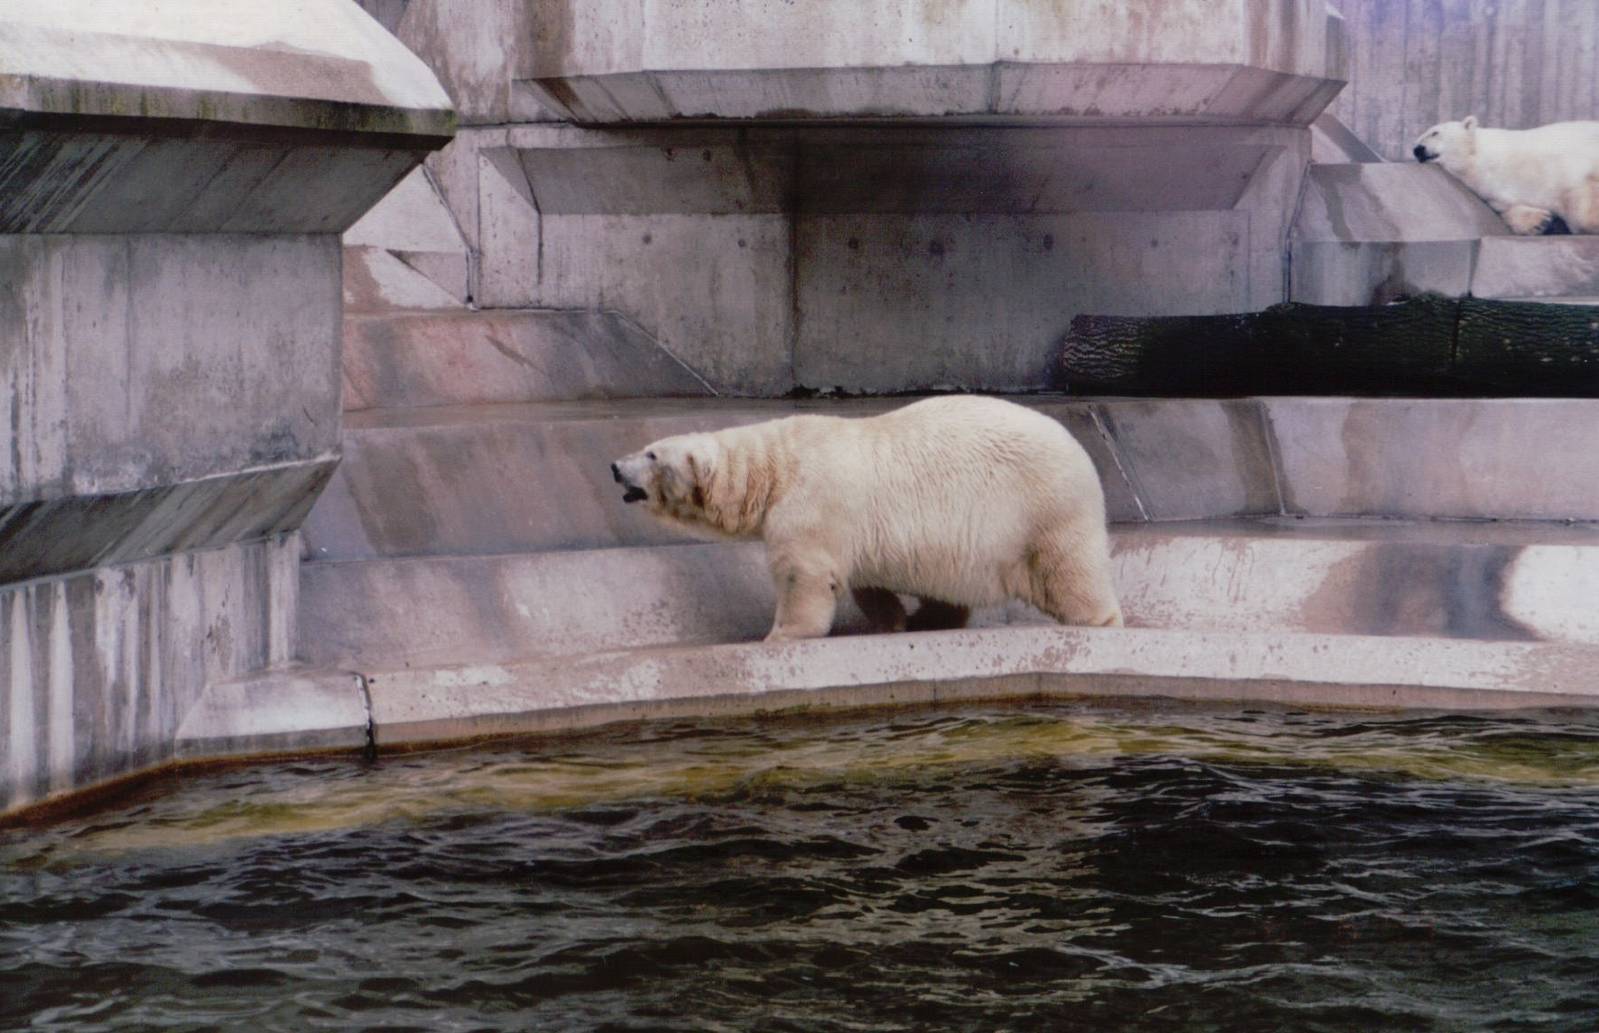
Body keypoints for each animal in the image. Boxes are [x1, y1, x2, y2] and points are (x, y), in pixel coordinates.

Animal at [610, 395, 1123, 642]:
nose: (615, 466)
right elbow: (863, 579)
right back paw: (928, 620)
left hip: (1043, 507)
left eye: (651, 454)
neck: (775, 467)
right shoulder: (854, 527)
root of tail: (1080, 449)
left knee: (1068, 570)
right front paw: (891, 622)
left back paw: (1098, 620)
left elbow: (803, 574)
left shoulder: (812, 504)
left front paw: (780, 636)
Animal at [1413, 115, 1599, 235]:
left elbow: (1576, 188)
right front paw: (1539, 222)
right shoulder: (1497, 192)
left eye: (1435, 133)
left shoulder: (1552, 163)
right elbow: (1508, 208)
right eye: (1418, 138)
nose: (1417, 149)